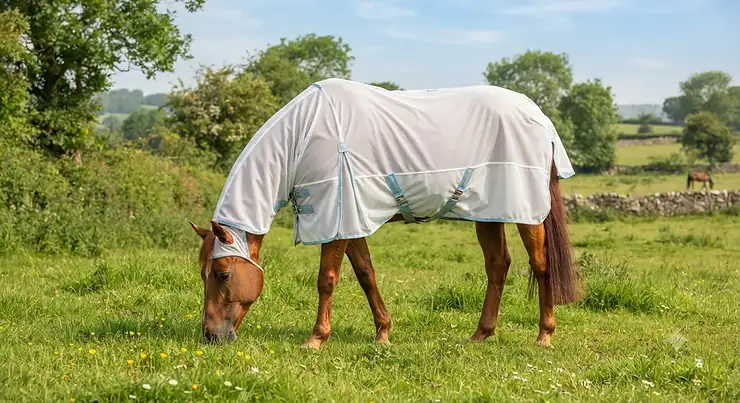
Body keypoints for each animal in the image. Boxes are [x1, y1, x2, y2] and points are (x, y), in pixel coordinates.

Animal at [189, 78, 582, 349]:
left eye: (223, 274)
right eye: (203, 272)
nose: (211, 336)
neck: (302, 138)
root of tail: (538, 116)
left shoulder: (335, 220)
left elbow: (326, 279)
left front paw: (316, 339)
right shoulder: (350, 222)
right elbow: (366, 274)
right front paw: (383, 332)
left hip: (527, 214)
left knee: (541, 264)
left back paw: (544, 336)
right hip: (488, 213)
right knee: (498, 265)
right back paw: (481, 334)